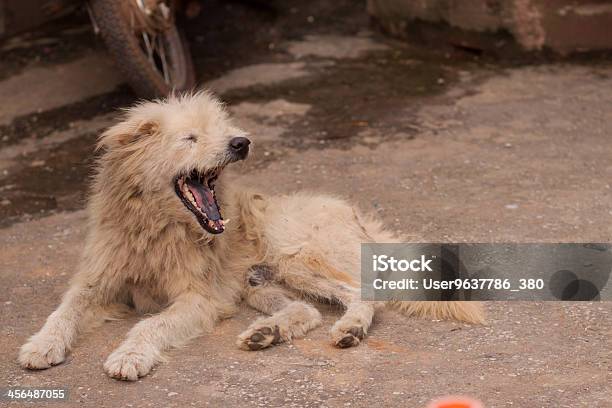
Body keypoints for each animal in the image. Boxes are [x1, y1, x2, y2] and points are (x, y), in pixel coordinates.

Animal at [19, 91, 482, 380]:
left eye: (224, 131)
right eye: (190, 138)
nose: (241, 142)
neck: (155, 227)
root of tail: (358, 218)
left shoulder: (199, 298)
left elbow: (151, 325)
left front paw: (130, 355)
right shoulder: (96, 281)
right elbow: (63, 311)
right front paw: (42, 345)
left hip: (296, 258)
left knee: (362, 294)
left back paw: (350, 328)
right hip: (259, 283)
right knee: (307, 311)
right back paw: (266, 334)